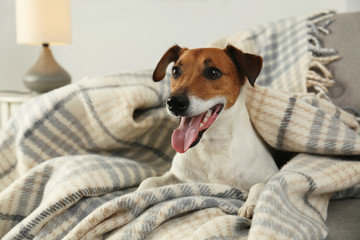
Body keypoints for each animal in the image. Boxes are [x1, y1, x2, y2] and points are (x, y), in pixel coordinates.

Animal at [138, 44, 278, 218]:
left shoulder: (272, 173)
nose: (174, 103)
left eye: (213, 72)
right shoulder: (180, 175)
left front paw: (250, 205)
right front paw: (136, 194)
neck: (212, 147)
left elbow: (258, 185)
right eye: (176, 71)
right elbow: (149, 181)